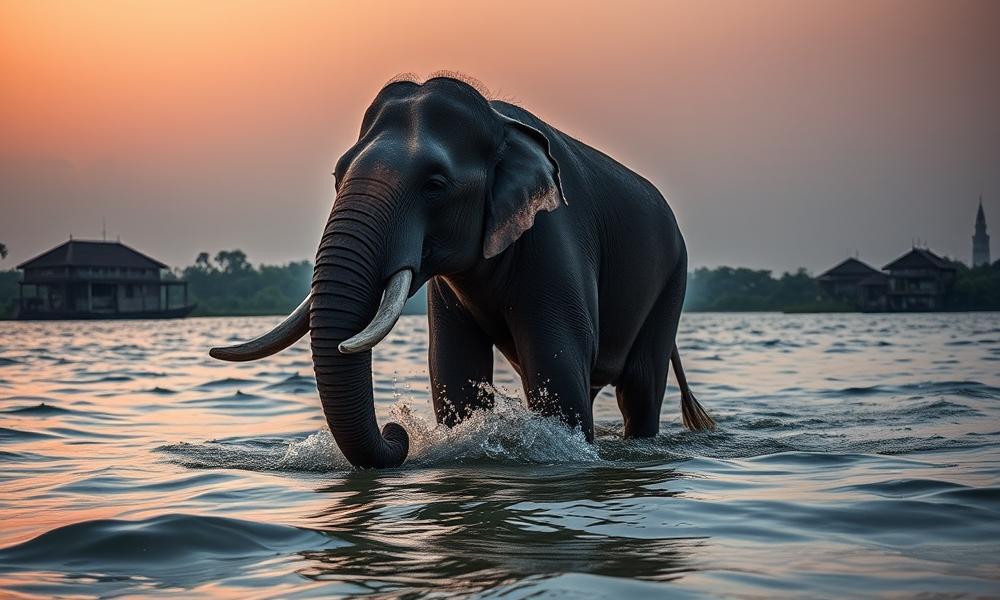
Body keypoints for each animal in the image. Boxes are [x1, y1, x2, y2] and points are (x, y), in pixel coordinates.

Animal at [210, 73, 714, 469]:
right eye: (337, 176)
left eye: (435, 186)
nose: (396, 433)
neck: (498, 121)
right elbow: (454, 373)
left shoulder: (555, 241)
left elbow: (557, 371)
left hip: (674, 278)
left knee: (640, 388)